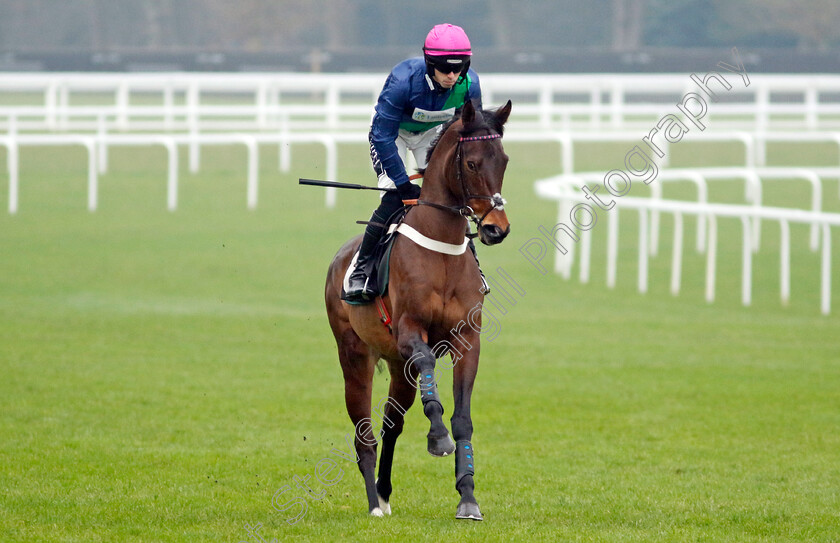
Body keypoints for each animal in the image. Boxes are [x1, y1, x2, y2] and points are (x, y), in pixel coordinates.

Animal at [324, 100, 512, 520]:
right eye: (472, 163)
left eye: (505, 160)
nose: (496, 228)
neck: (441, 251)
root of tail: (339, 257)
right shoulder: (410, 331)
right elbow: (427, 364)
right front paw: (437, 438)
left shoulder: (467, 341)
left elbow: (462, 419)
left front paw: (468, 498)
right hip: (354, 354)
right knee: (364, 431)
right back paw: (373, 503)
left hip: (397, 366)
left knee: (391, 423)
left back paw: (383, 491)